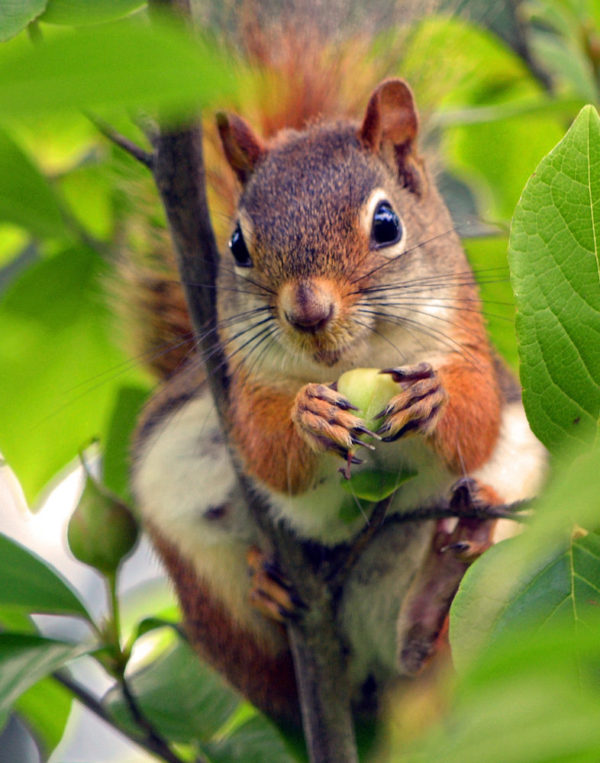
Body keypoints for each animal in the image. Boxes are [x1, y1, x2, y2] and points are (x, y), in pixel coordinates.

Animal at [128, 15, 547, 726]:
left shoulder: (470, 346)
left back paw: (439, 583)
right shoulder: (237, 386)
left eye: (386, 223)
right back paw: (268, 584)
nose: (308, 311)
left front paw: (434, 399)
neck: (353, 359)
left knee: (426, 645)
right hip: (196, 562)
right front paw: (311, 415)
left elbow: (477, 420)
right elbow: (267, 452)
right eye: (237, 244)